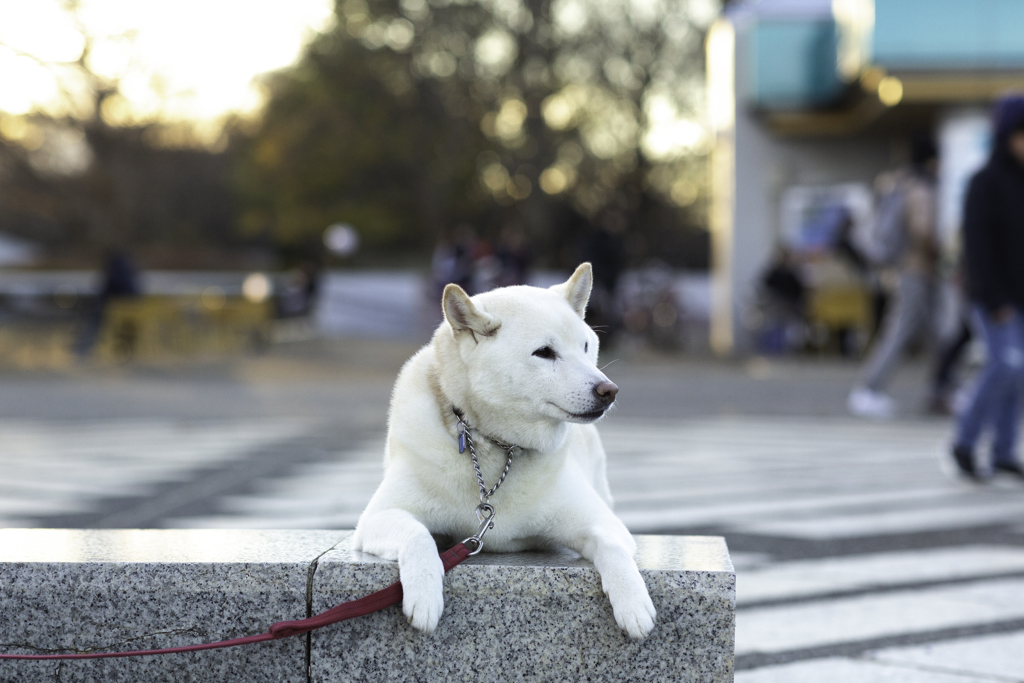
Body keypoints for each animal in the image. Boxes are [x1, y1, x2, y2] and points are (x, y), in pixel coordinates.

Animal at [352, 264, 655, 643]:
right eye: (544, 352)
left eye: (586, 346)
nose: (609, 390)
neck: (500, 448)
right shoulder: (379, 516)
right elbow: (418, 536)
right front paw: (424, 594)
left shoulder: (602, 522)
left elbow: (612, 546)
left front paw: (634, 603)